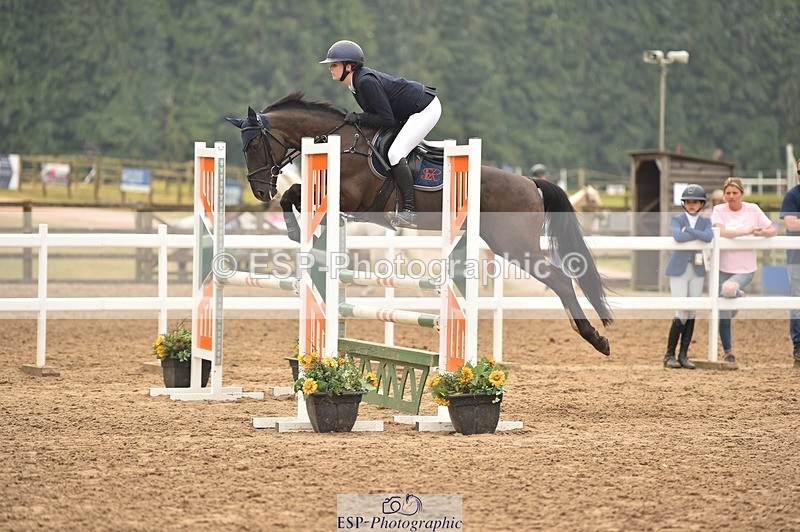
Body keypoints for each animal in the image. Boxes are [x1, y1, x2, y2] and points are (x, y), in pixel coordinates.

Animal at [225, 91, 613, 355]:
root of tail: (531, 183)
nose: (259, 191)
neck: (342, 142)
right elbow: (294, 194)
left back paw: (595, 338)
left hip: (516, 247)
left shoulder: (349, 198)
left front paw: (295, 229)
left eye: (253, 145)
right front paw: (299, 231)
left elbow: (295, 193)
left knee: (561, 280)